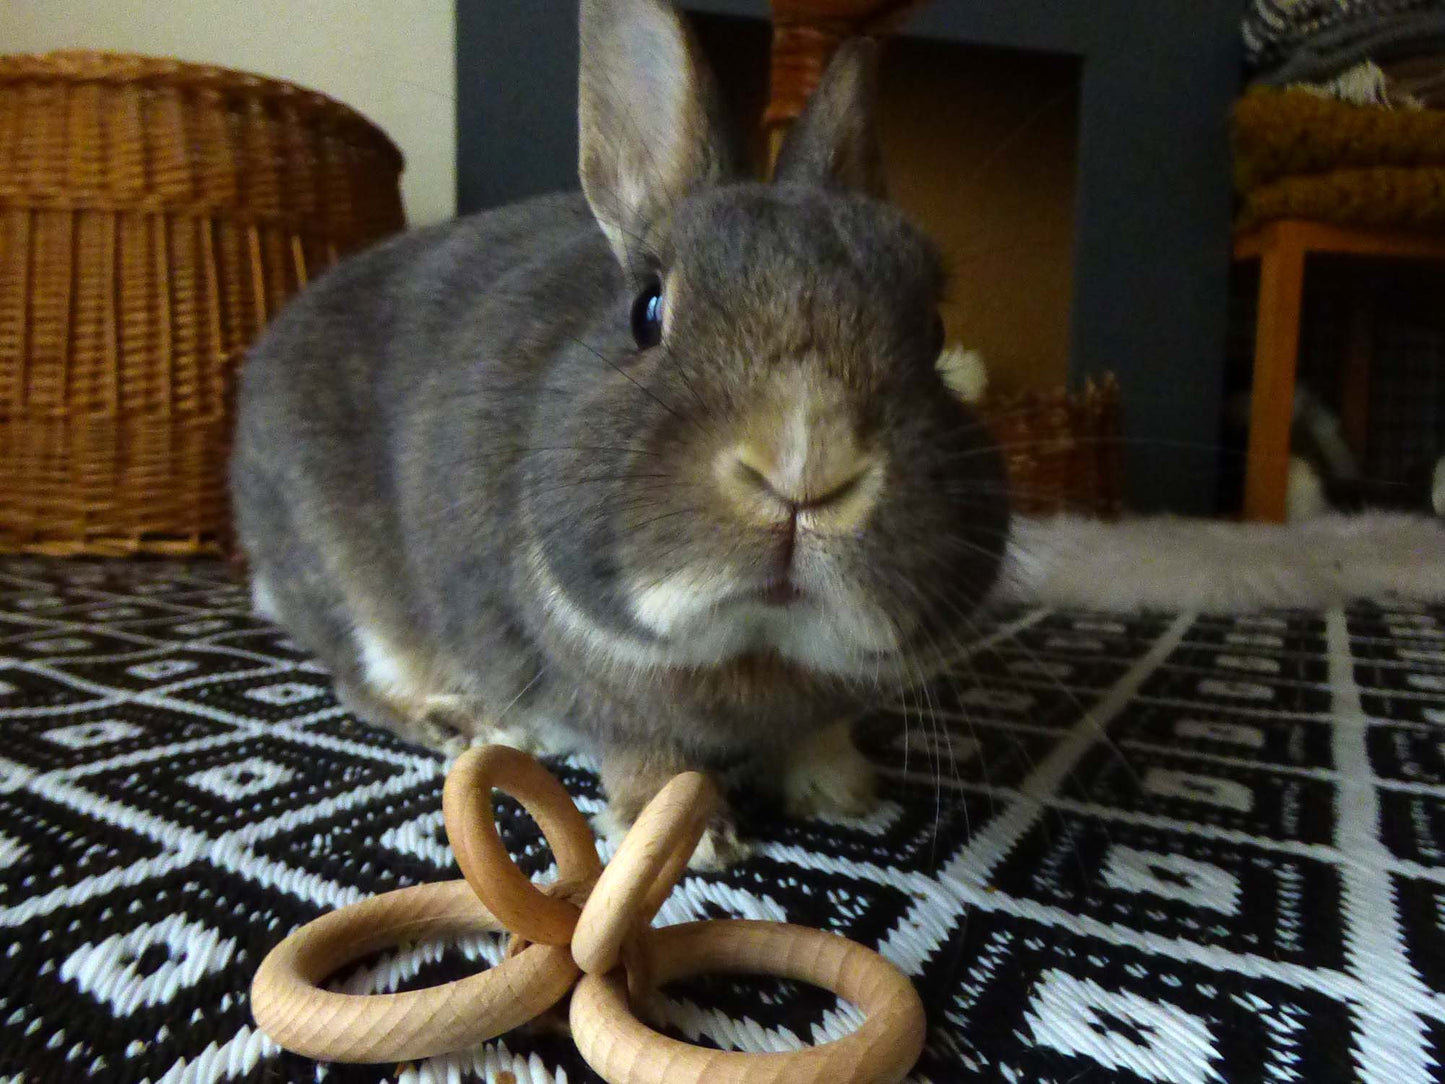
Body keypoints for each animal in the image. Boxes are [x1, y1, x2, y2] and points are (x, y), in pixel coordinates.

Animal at [231, 0, 1011, 867]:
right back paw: (467, 721)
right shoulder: (617, 710)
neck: (760, 646)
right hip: (345, 580)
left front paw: (843, 797)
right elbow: (647, 760)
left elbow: (821, 736)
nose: (804, 467)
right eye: (647, 309)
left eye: (932, 329)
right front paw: (687, 843)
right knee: (362, 675)